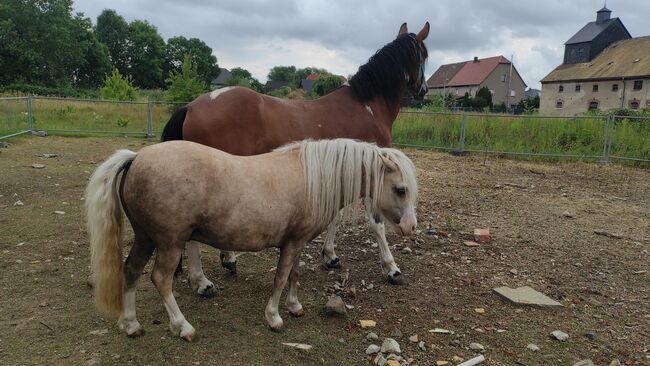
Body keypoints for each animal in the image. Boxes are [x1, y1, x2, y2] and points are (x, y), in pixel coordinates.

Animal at [86, 138, 416, 340]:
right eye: (400, 189)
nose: (411, 227)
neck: (311, 177)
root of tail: (137, 157)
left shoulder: (297, 242)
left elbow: (294, 275)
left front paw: (294, 306)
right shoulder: (292, 243)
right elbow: (281, 277)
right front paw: (274, 317)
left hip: (146, 238)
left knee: (130, 270)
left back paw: (131, 325)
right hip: (169, 242)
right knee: (160, 279)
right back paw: (182, 326)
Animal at [160, 21, 428, 288]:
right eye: (424, 56)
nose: (423, 90)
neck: (366, 105)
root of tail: (191, 106)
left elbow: (336, 216)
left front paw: (330, 256)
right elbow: (376, 223)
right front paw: (391, 268)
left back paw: (226, 262)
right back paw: (202, 281)